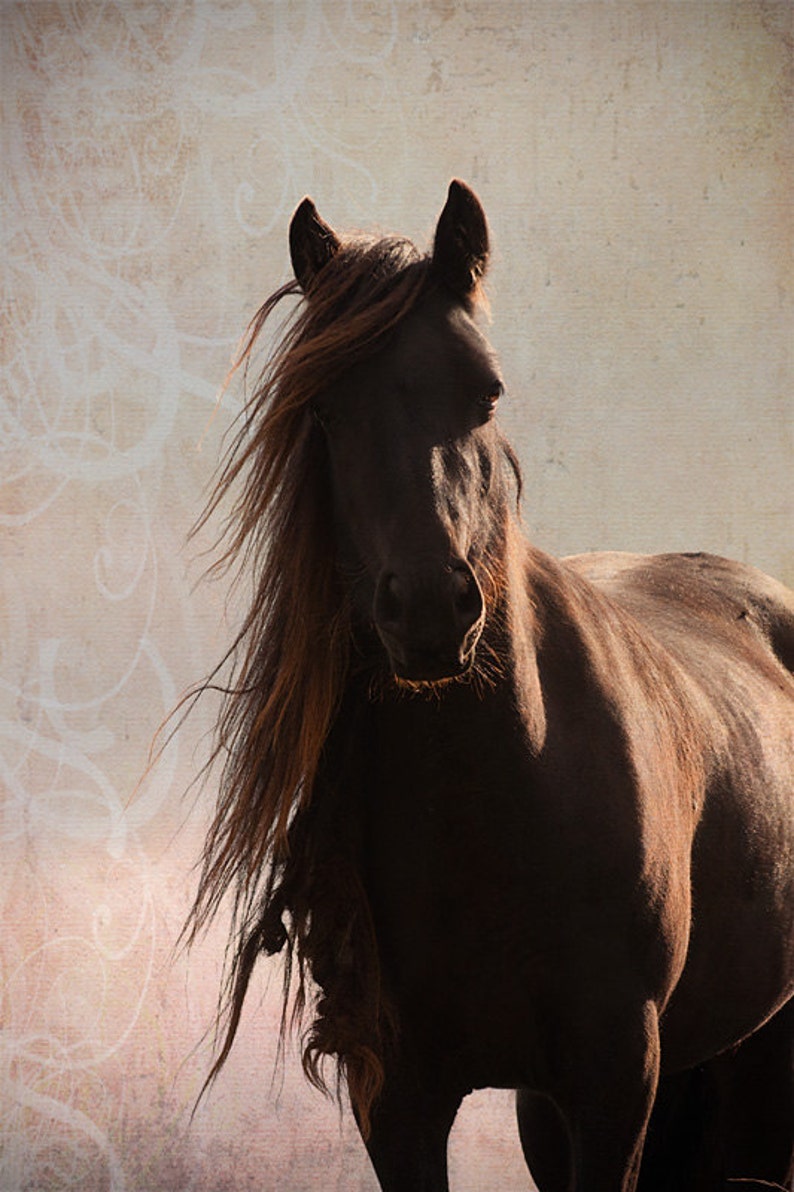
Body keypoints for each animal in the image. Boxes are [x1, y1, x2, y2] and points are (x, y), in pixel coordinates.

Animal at [188, 181, 794, 1191]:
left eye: (488, 391)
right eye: (326, 412)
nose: (432, 606)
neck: (496, 804)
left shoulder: (615, 1080)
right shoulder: (398, 1097)